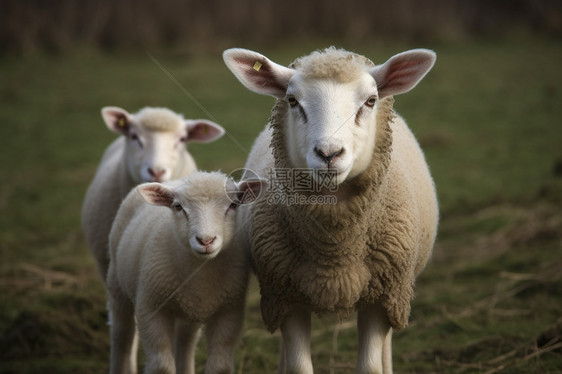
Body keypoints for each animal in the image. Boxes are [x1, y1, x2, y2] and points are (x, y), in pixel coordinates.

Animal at [107, 172, 264, 374]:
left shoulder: (229, 311)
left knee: (185, 342)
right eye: (178, 207)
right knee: (121, 335)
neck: (201, 272)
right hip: (117, 285)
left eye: (234, 205)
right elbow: (161, 366)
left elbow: (220, 366)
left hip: (190, 311)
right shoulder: (150, 308)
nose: (206, 240)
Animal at [223, 47, 438, 374]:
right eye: (292, 100)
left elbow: (371, 367)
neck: (334, 256)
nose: (328, 154)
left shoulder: (383, 296)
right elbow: (299, 366)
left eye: (370, 101)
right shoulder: (285, 296)